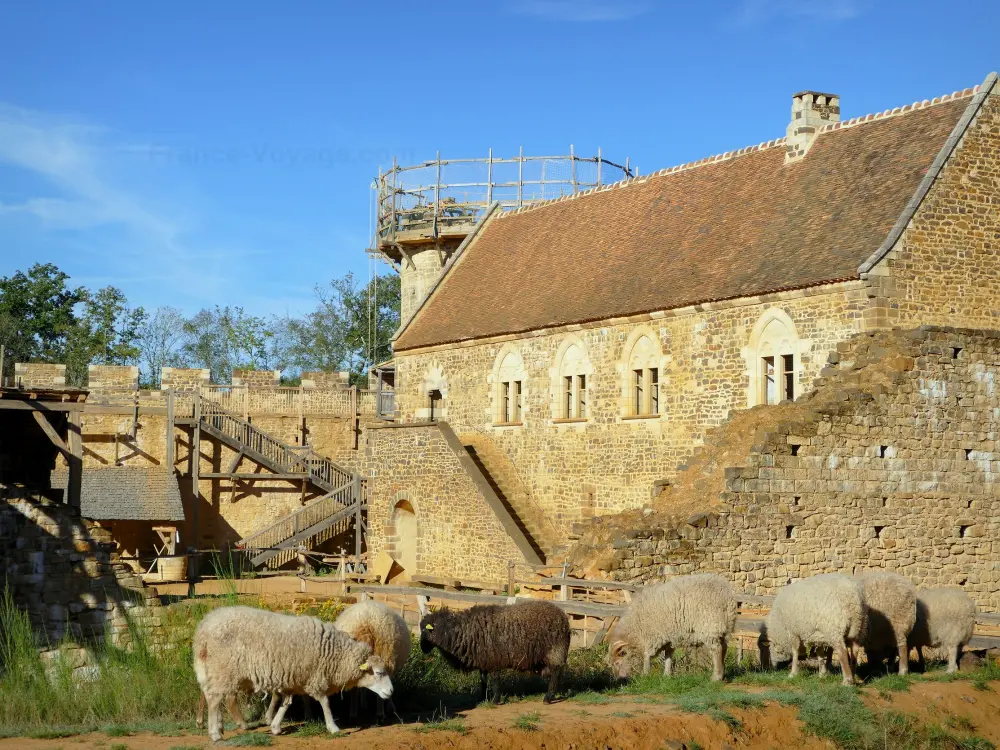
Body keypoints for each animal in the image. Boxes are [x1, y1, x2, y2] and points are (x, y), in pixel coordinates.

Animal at [193, 604, 392, 740]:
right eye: (379, 673)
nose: (391, 691)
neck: (335, 654)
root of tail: (203, 629)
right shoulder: (315, 677)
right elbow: (325, 702)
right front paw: (333, 727)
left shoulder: (294, 677)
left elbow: (286, 703)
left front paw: (275, 726)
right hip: (224, 669)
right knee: (214, 699)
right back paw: (215, 733)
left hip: (216, 671)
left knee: (214, 696)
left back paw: (218, 727)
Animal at [418, 600, 572, 704]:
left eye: (426, 630)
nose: (423, 649)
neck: (459, 632)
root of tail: (564, 617)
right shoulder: (483, 661)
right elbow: (483, 681)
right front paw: (482, 698)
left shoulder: (493, 660)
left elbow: (495, 681)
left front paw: (496, 700)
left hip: (555, 652)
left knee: (555, 674)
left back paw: (548, 698)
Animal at [604, 572, 740, 684]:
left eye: (617, 663)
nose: (619, 681)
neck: (635, 630)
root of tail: (726, 594)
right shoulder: (669, 637)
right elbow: (668, 655)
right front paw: (667, 675)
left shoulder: (651, 637)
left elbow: (647, 657)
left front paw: (645, 675)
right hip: (725, 625)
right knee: (724, 647)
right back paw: (723, 674)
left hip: (710, 626)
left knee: (717, 649)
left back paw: (716, 677)